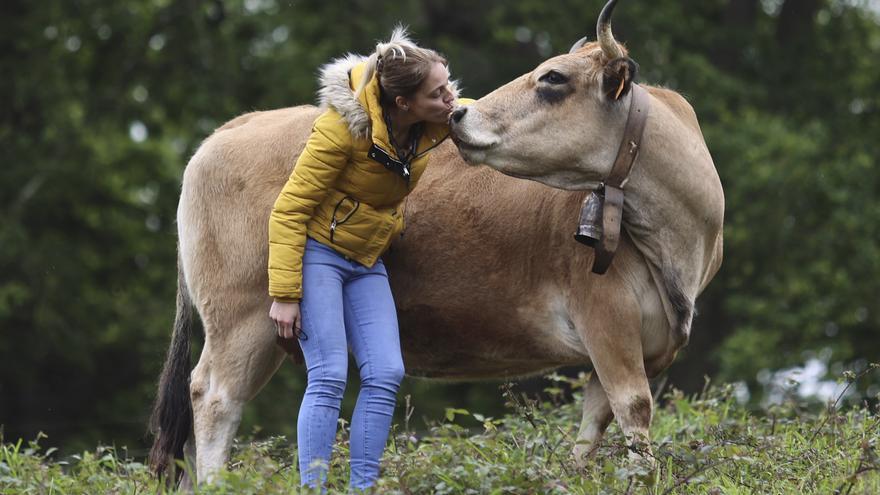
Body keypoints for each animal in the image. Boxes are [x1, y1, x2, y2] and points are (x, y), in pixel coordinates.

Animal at [150, 0, 720, 488]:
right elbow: (634, 411)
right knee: (213, 398)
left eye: (554, 78)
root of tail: (228, 130)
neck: (681, 232)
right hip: (242, 317)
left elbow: (594, 426)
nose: (459, 115)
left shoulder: (644, 342)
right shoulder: (607, 319)